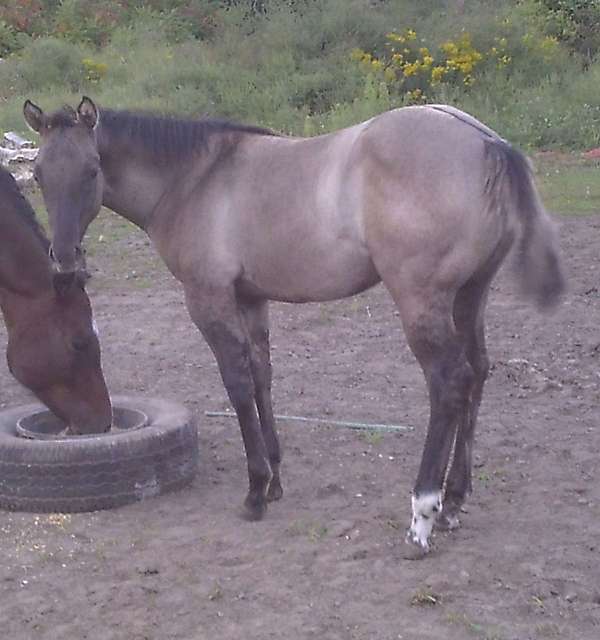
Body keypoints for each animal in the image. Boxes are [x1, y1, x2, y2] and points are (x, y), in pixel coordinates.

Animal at [23, 97, 565, 551]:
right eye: (39, 174)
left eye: (92, 169)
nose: (65, 262)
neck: (195, 178)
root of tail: (488, 143)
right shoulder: (251, 300)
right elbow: (262, 378)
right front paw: (276, 481)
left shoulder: (208, 300)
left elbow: (238, 384)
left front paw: (255, 491)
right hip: (470, 296)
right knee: (477, 373)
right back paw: (453, 502)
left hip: (422, 300)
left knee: (449, 382)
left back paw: (423, 515)